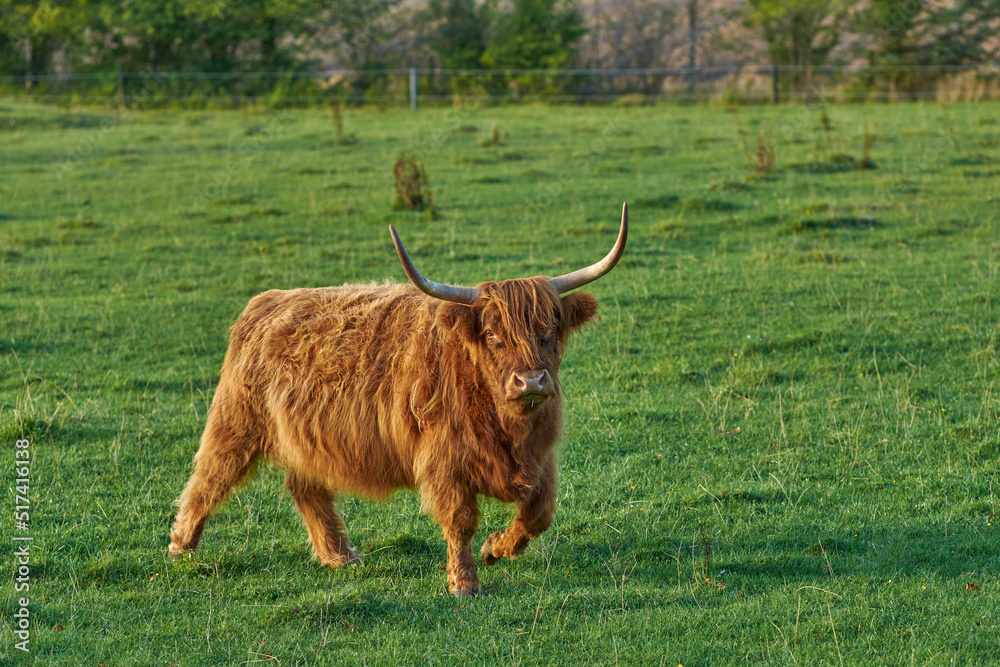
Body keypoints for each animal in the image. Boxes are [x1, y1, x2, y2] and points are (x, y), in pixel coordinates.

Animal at [169, 202, 628, 596]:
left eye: (549, 332)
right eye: (493, 336)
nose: (531, 381)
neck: (507, 427)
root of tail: (268, 301)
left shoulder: (541, 458)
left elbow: (539, 513)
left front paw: (496, 549)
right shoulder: (445, 461)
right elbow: (461, 522)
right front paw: (465, 584)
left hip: (305, 437)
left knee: (305, 487)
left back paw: (339, 556)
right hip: (236, 422)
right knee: (209, 478)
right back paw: (180, 545)